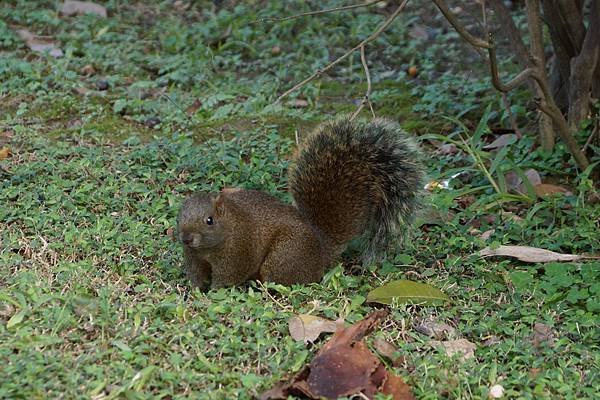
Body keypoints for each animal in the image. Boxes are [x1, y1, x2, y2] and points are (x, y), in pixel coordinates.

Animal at [176, 117, 424, 290]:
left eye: (210, 220)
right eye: (179, 218)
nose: (186, 238)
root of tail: (321, 251)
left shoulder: (237, 252)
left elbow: (226, 278)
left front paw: (212, 294)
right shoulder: (194, 258)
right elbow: (196, 276)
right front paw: (194, 291)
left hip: (285, 255)